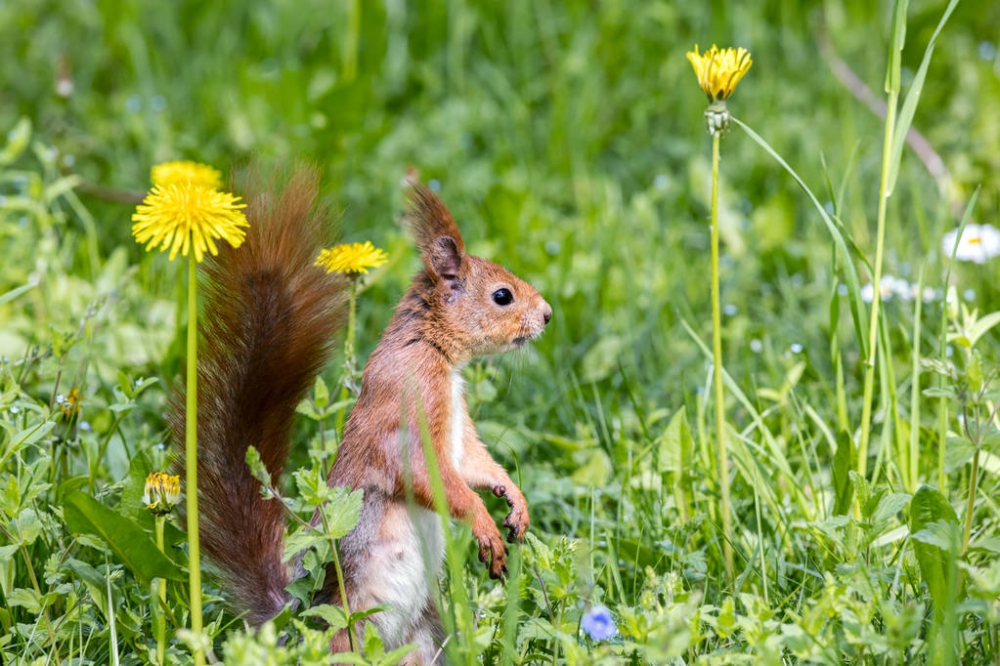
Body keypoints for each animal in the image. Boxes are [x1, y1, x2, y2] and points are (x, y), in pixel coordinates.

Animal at [177, 165, 556, 660]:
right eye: (502, 296)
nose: (547, 314)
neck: (434, 349)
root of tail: (290, 627)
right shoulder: (409, 411)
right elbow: (428, 476)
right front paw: (484, 524)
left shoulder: (458, 429)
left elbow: (473, 462)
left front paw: (514, 499)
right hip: (347, 633)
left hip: (423, 639)